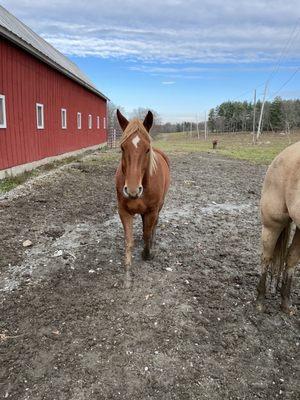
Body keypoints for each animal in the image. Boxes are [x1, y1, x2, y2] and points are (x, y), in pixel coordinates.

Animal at [115, 109, 170, 284]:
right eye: (122, 147)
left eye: (146, 149)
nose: (132, 191)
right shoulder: (124, 212)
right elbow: (128, 241)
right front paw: (127, 272)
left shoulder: (152, 211)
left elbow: (147, 232)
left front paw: (147, 254)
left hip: (159, 207)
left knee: (153, 226)